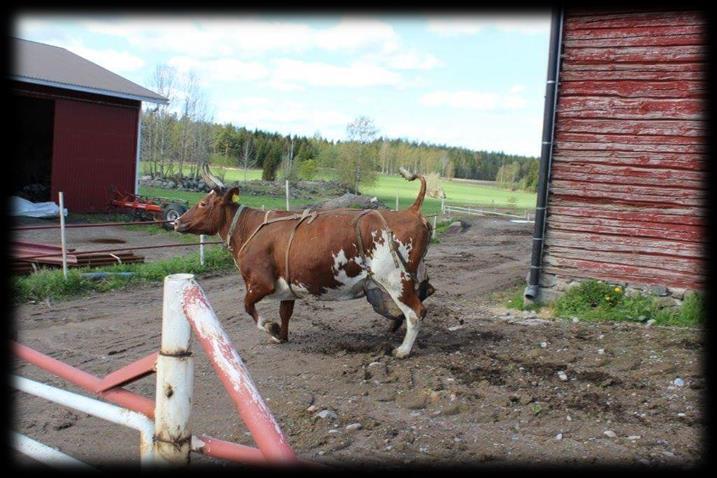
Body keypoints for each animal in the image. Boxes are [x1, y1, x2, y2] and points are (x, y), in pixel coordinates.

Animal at [176, 163, 434, 354]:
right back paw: (395, 324)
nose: (176, 221)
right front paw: (280, 335)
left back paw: (403, 350)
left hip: (395, 279)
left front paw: (271, 328)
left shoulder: (261, 283)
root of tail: (411, 210)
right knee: (422, 295)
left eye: (203, 203)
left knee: (416, 312)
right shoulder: (286, 287)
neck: (248, 229)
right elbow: (285, 313)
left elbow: (249, 307)